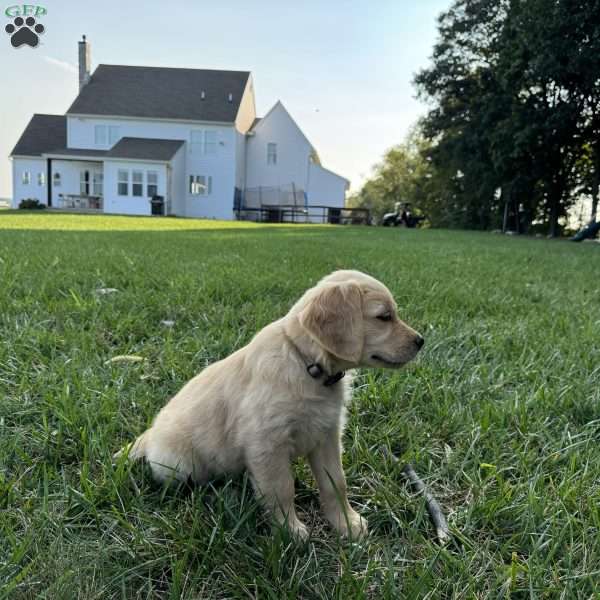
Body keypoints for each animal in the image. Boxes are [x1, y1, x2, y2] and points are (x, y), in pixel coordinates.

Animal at [115, 272, 424, 540]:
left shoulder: (327, 434)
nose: (421, 341)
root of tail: (149, 436)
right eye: (384, 317)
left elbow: (336, 482)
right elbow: (281, 489)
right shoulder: (267, 442)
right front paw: (290, 531)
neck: (306, 364)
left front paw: (346, 523)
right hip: (178, 464)